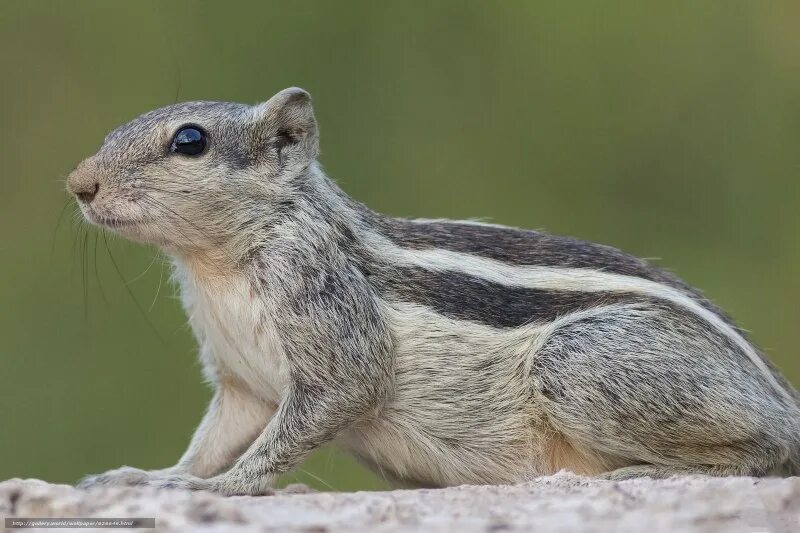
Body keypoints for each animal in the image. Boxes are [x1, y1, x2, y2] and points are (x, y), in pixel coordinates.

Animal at [69, 86, 800, 494]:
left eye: (189, 141)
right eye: (111, 130)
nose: (78, 184)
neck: (212, 266)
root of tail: (784, 400)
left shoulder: (328, 318)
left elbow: (316, 410)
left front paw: (231, 486)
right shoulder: (243, 384)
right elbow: (210, 441)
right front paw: (152, 477)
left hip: (580, 361)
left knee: (764, 452)